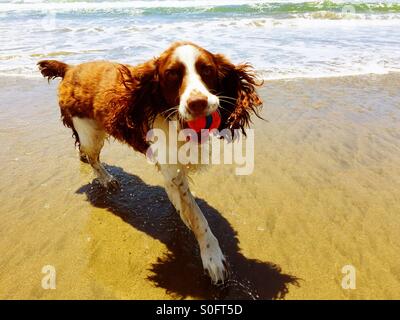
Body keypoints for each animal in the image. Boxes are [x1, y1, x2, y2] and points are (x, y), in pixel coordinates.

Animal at [37, 41, 262, 284]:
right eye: (172, 74)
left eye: (208, 70)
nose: (198, 103)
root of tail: (70, 69)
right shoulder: (172, 167)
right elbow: (197, 216)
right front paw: (212, 257)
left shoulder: (173, 170)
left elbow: (181, 200)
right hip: (90, 133)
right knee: (92, 157)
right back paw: (106, 179)